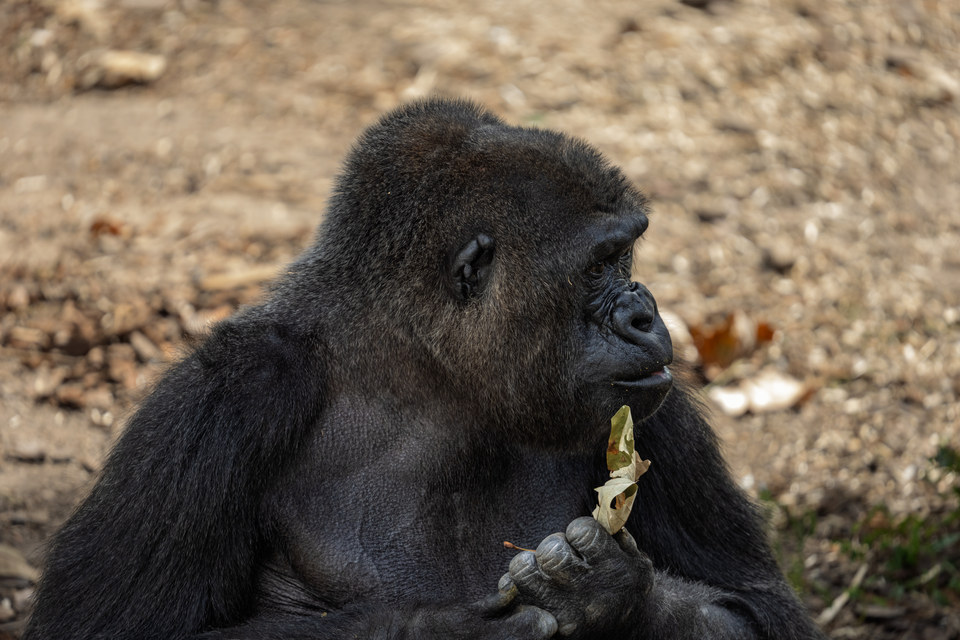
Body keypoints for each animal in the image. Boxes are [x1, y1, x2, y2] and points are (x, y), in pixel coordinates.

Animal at [24, 98, 825, 640]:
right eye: (603, 263)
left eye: (626, 255)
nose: (644, 313)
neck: (426, 381)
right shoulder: (226, 397)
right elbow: (106, 628)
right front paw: (439, 627)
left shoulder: (655, 415)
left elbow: (758, 606)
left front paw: (610, 594)